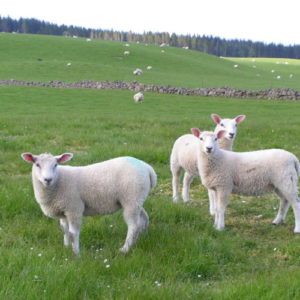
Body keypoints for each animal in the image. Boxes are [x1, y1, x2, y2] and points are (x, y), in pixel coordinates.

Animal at [21, 152, 157, 255]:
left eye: (55, 165)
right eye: (37, 164)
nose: (48, 179)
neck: (59, 181)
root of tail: (148, 168)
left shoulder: (74, 208)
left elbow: (73, 233)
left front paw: (76, 254)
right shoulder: (63, 210)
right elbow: (64, 229)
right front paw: (66, 246)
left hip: (131, 198)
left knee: (133, 225)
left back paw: (125, 248)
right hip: (137, 199)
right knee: (144, 218)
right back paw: (143, 237)